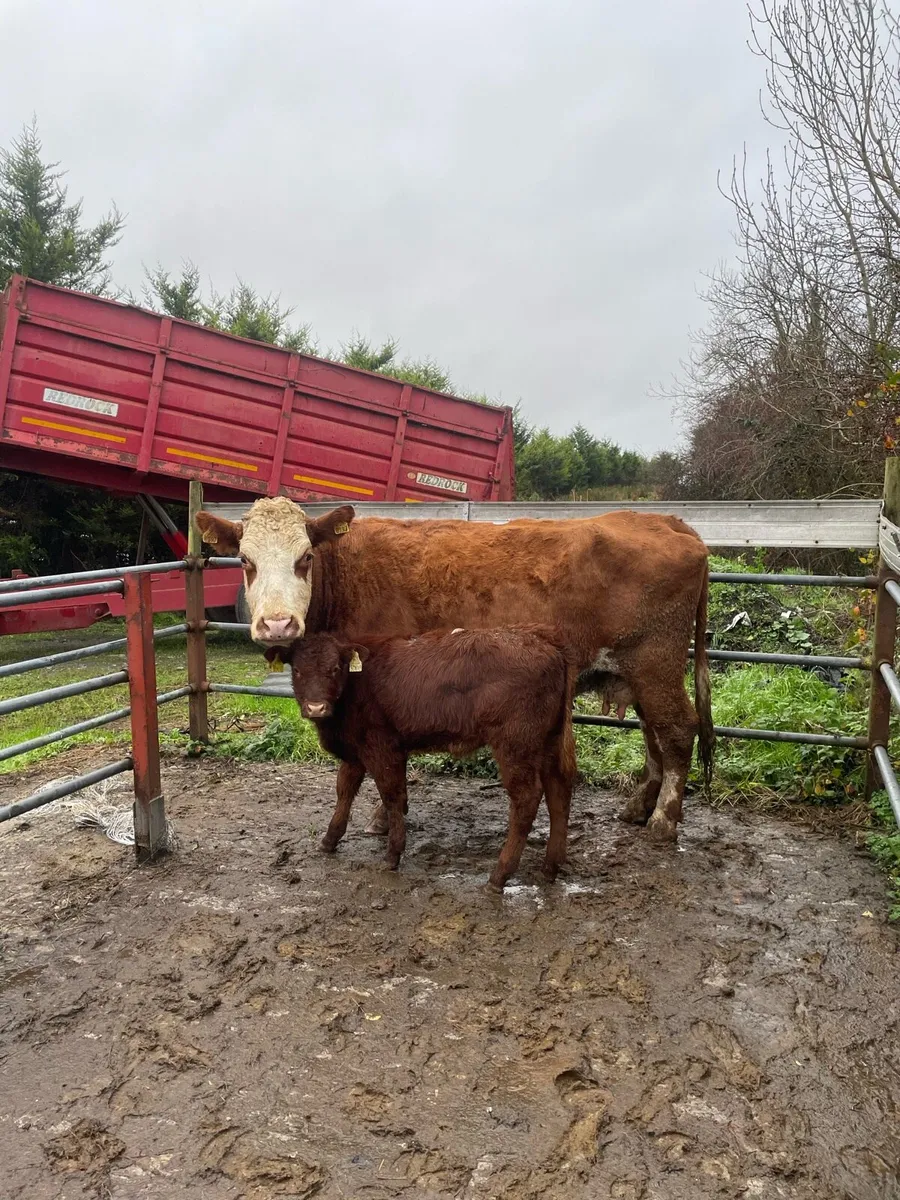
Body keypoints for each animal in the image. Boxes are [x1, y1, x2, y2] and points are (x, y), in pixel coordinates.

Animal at [195, 497, 714, 842]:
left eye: (304, 558)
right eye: (245, 560)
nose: (277, 624)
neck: (345, 574)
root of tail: (665, 521)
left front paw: (385, 817)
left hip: (655, 662)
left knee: (677, 731)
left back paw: (664, 820)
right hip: (639, 672)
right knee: (655, 737)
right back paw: (639, 808)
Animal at [272, 625, 578, 891]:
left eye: (335, 668)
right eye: (297, 670)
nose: (316, 707)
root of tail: (546, 642)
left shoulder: (383, 747)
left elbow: (392, 795)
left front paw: (393, 855)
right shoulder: (356, 750)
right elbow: (344, 789)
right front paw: (329, 839)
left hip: (515, 745)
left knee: (527, 799)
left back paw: (499, 875)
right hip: (548, 742)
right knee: (559, 790)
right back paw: (550, 867)